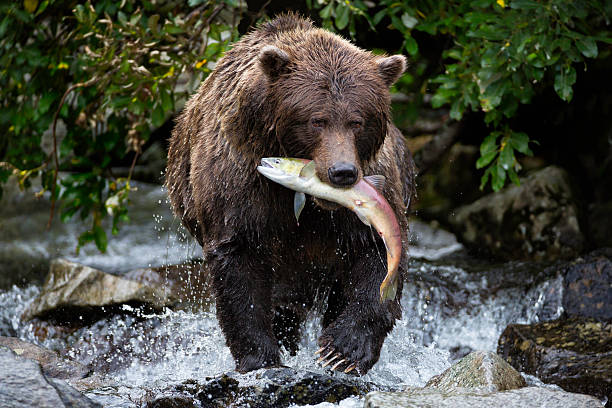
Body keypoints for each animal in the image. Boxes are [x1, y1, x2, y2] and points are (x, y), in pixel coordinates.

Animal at [166, 13, 416, 376]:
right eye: (317, 120)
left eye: (357, 120)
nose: (342, 172)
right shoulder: (240, 183)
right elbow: (239, 264)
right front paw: (260, 356)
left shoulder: (370, 200)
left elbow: (374, 253)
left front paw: (342, 351)